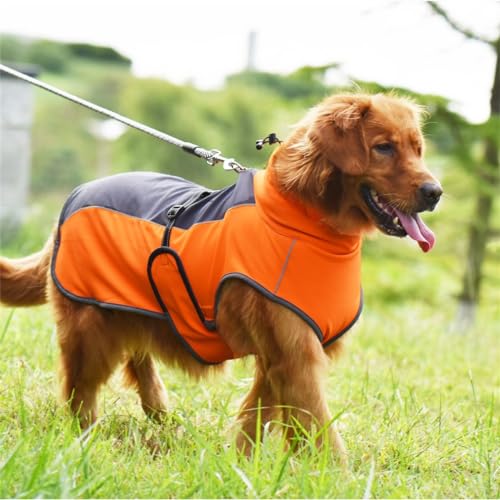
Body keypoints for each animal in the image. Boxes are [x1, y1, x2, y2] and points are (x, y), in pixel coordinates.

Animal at [0, 93, 442, 460]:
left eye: (417, 149)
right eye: (383, 147)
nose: (435, 192)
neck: (306, 221)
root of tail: (74, 198)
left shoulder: (280, 354)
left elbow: (255, 417)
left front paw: (240, 466)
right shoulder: (295, 353)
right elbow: (318, 427)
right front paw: (334, 478)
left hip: (135, 308)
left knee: (138, 360)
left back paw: (163, 417)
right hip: (89, 330)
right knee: (81, 393)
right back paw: (84, 440)